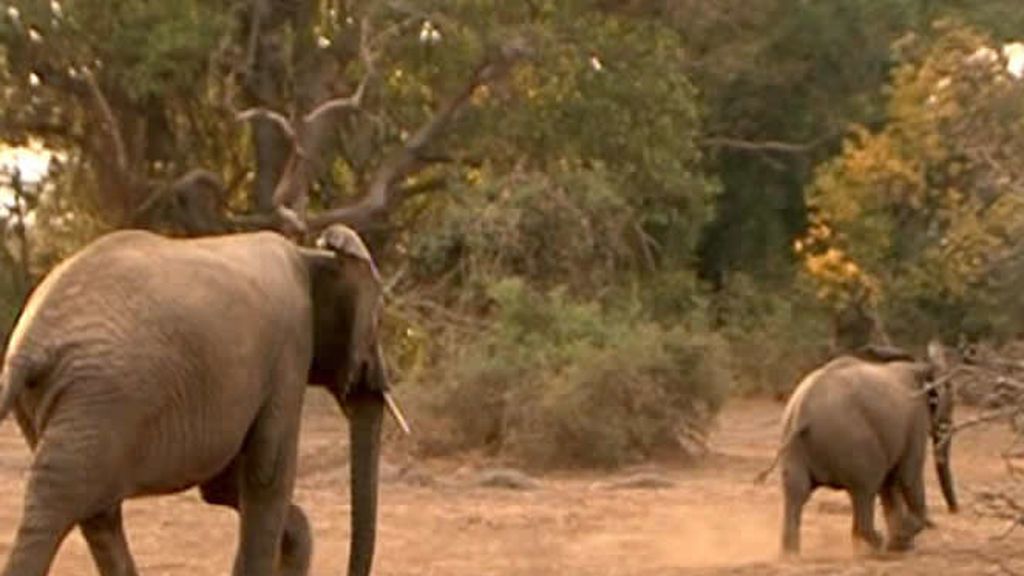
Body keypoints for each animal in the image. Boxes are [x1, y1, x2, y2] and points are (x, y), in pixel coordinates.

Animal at [0, 224, 405, 576]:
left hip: (72, 405)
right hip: (103, 396)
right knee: (58, 505)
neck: (312, 256)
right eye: (379, 320)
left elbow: (224, 484)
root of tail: (29, 346)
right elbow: (268, 474)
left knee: (97, 514)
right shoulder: (290, 350)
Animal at [761, 341, 959, 555]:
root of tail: (803, 413)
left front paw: (900, 545)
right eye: (951, 399)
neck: (919, 367)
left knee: (797, 492)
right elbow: (907, 476)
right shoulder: (915, 421)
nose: (953, 511)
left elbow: (890, 484)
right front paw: (900, 541)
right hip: (855, 443)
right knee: (865, 489)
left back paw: (792, 555)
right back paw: (876, 544)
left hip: (794, 443)